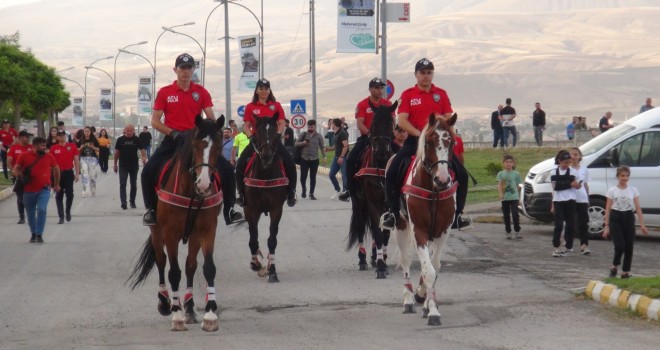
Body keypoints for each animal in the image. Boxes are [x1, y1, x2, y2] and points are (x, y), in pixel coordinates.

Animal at [127, 116, 226, 332]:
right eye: (196, 145)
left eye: (218, 146)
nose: (204, 184)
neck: (191, 191)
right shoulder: (170, 233)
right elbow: (173, 272)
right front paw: (177, 316)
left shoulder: (207, 231)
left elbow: (208, 268)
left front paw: (210, 315)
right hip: (157, 232)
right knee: (161, 261)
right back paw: (167, 302)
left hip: (194, 236)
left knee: (190, 265)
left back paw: (188, 307)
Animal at [244, 112, 288, 282]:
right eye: (258, 132)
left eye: (275, 132)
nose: (267, 156)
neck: (265, 174)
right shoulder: (251, 210)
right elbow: (253, 239)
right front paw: (256, 264)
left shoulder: (276, 209)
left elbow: (272, 239)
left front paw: (272, 270)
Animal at [346, 100, 398, 278]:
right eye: (373, 124)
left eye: (391, 123)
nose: (381, 149)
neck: (382, 166)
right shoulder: (373, 202)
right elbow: (376, 231)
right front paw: (381, 267)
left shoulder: (389, 205)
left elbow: (385, 233)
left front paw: (383, 261)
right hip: (358, 201)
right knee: (361, 227)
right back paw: (363, 259)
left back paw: (375, 257)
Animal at [394, 111, 456, 326]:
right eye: (429, 142)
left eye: (451, 142)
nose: (443, 179)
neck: (433, 190)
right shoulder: (419, 230)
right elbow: (428, 271)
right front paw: (433, 312)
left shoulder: (443, 231)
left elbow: (434, 267)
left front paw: (429, 302)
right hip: (401, 226)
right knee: (405, 259)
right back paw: (408, 300)